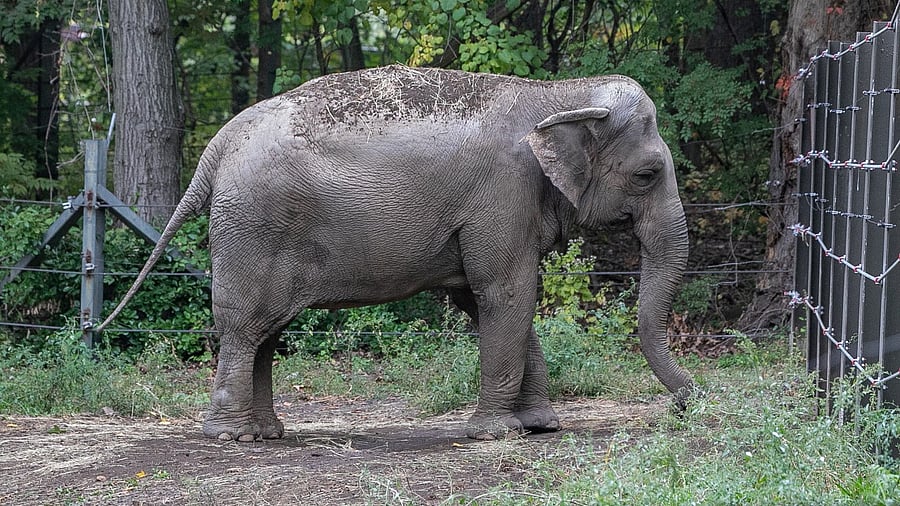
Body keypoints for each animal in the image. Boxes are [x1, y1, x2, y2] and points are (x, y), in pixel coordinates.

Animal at [99, 64, 692, 442]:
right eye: (647, 175)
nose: (688, 403)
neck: (557, 94)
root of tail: (217, 147)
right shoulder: (503, 195)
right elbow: (508, 292)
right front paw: (496, 434)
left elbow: (485, 299)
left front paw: (541, 425)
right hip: (253, 227)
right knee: (246, 325)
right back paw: (231, 438)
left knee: (268, 330)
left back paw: (266, 433)